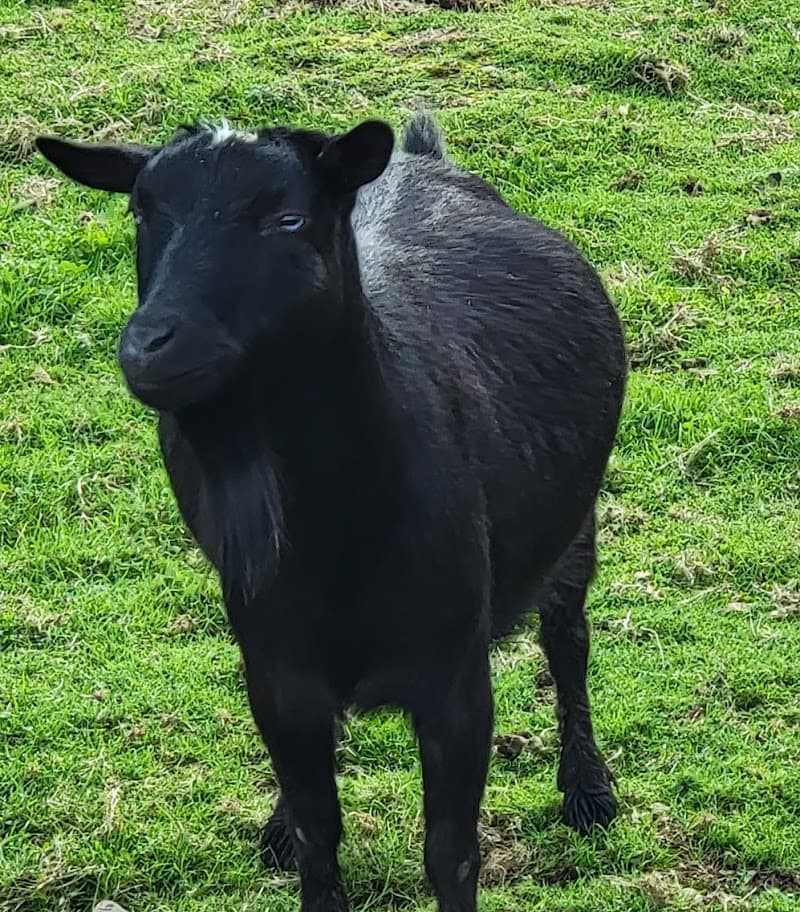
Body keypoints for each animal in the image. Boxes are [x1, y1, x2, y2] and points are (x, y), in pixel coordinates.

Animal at [37, 109, 627, 912]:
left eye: (288, 218)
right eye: (142, 211)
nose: (150, 347)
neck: (339, 532)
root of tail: (419, 160)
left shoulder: (455, 678)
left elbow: (452, 853)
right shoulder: (275, 669)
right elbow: (320, 837)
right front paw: (293, 832)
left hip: (574, 528)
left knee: (568, 641)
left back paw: (588, 791)